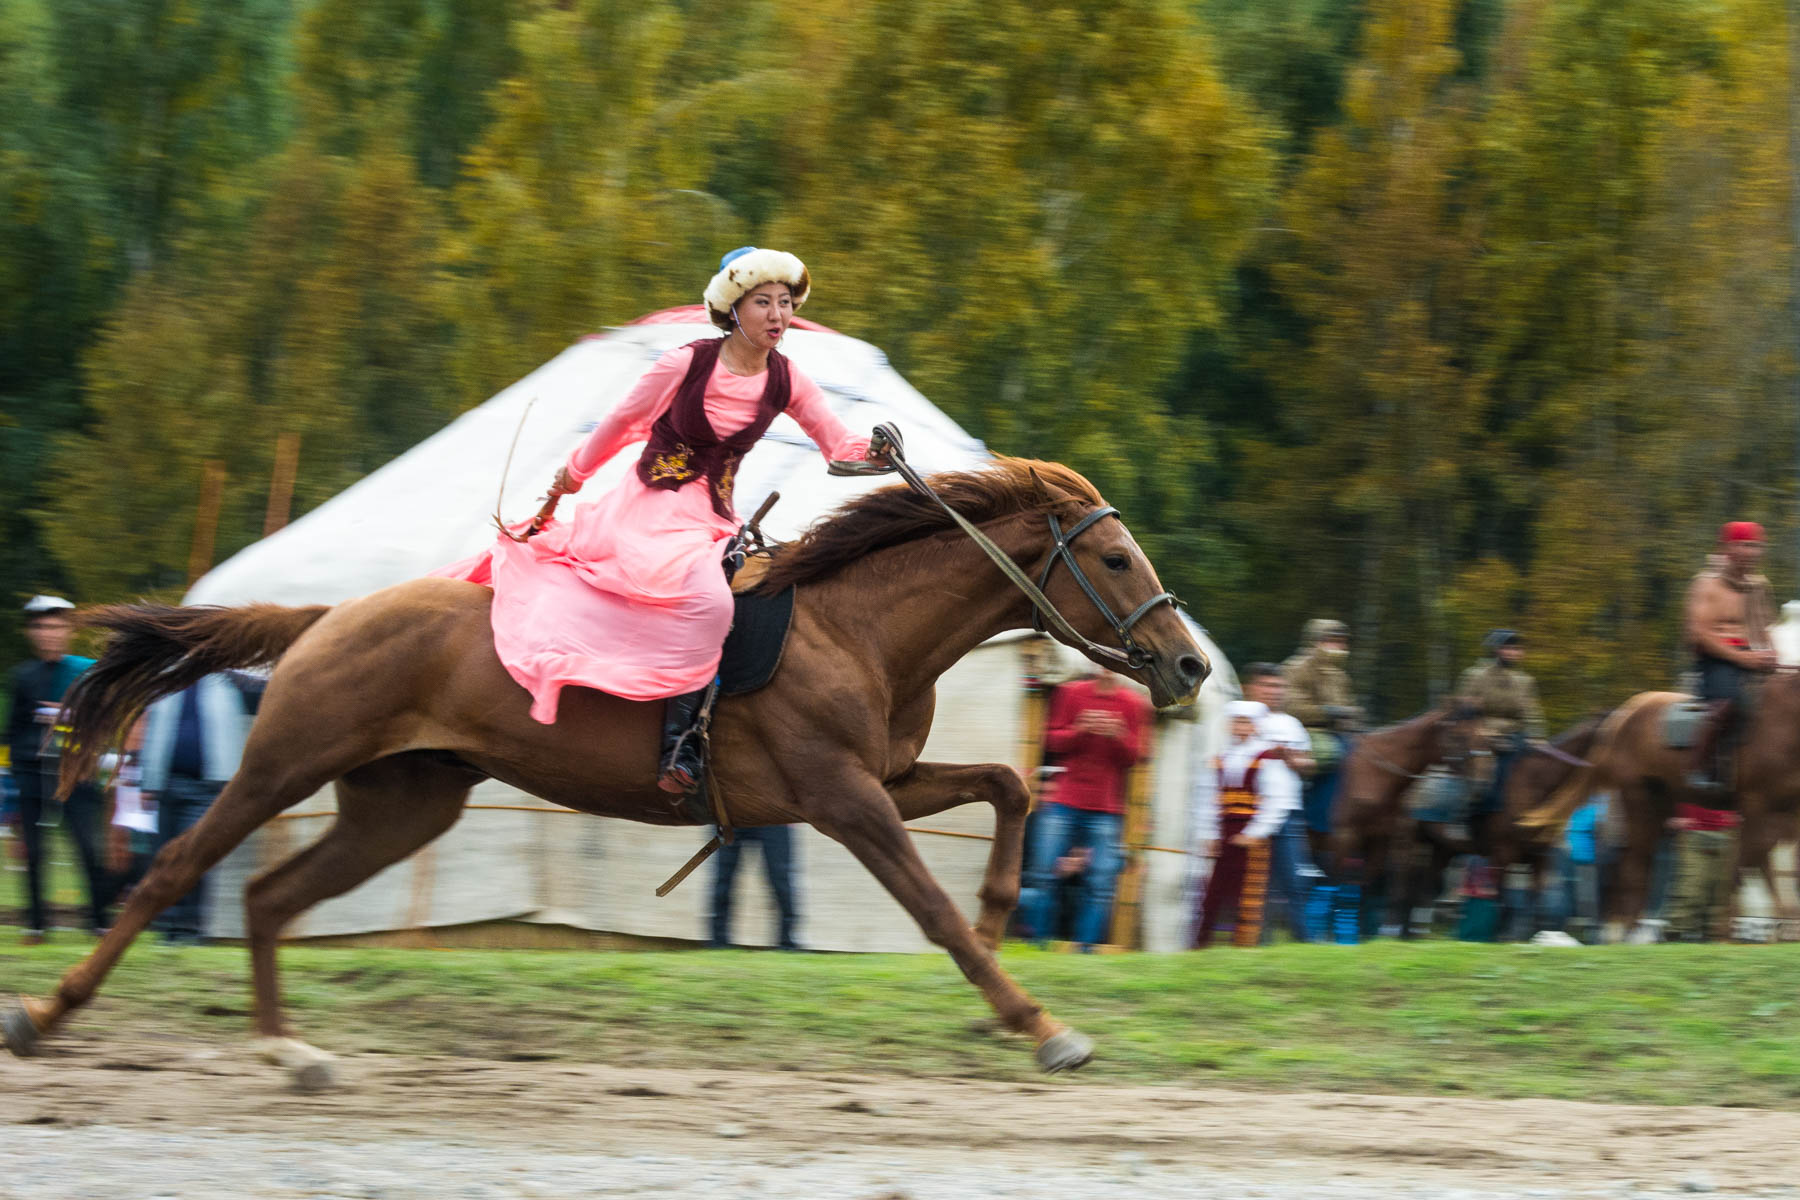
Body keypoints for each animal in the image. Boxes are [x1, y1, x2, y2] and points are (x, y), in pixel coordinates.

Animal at [7, 456, 1209, 1079]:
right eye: (1115, 557)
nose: (1190, 662)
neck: (857, 624)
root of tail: (327, 616)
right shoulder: (844, 799)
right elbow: (935, 912)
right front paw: (1037, 1021)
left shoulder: (882, 781)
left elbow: (1006, 791)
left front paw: (1009, 922)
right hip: (284, 763)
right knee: (173, 873)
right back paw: (49, 1013)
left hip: (403, 806)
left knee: (264, 896)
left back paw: (288, 1049)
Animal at [1519, 680, 1800, 942]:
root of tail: (1623, 714)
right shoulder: (1760, 809)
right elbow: (1744, 868)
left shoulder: (1783, 818)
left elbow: (1768, 869)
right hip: (1641, 802)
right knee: (1634, 867)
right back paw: (1626, 932)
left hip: (1658, 808)